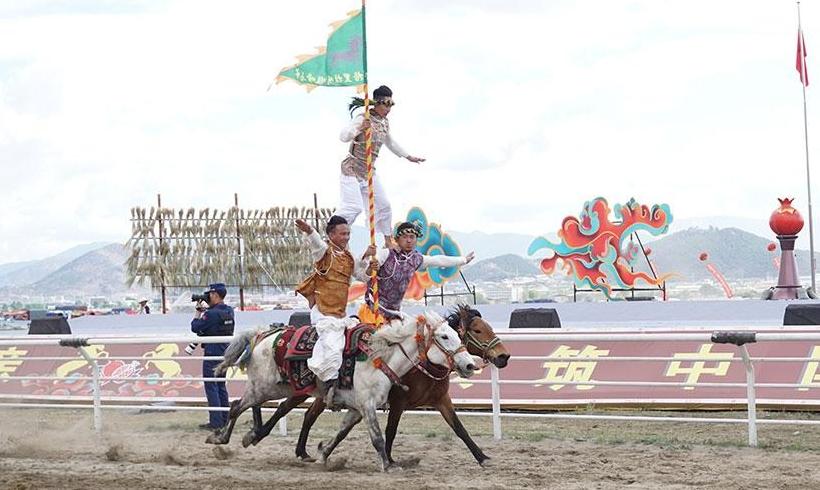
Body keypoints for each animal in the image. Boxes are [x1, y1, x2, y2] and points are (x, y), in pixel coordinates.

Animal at [242, 304, 506, 466]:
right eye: (477, 330)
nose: (504, 356)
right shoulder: (398, 402)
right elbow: (390, 431)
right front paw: (389, 459)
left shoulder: (441, 401)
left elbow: (459, 429)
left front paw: (482, 457)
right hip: (298, 389)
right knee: (283, 408)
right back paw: (261, 435)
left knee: (306, 414)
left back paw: (302, 451)